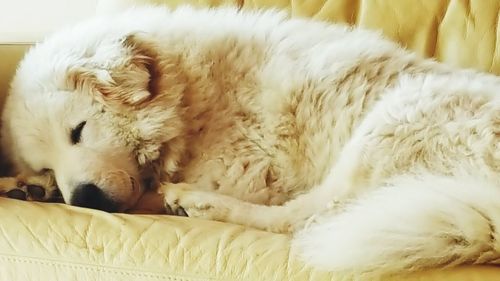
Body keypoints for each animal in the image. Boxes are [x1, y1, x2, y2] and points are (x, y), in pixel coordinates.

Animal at [0, 5, 500, 276]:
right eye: (47, 163)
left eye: (79, 131)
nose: (83, 200)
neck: (188, 93)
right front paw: (30, 185)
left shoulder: (247, 172)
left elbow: (148, 192)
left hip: (398, 115)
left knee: (307, 219)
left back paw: (196, 204)